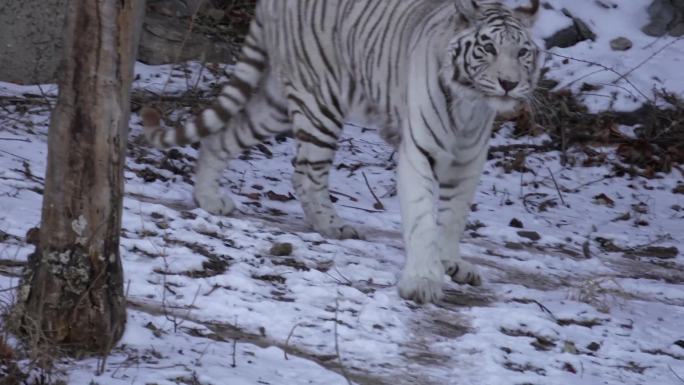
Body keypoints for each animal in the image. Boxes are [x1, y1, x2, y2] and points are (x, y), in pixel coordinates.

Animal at [143, 0, 540, 302]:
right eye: (487, 48)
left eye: (522, 52)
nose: (509, 83)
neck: (470, 105)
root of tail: (269, 2)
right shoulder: (420, 152)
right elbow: (423, 218)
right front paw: (422, 281)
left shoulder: (468, 162)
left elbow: (453, 218)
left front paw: (451, 263)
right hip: (320, 102)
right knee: (306, 175)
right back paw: (334, 226)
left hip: (275, 106)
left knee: (223, 136)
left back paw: (208, 197)